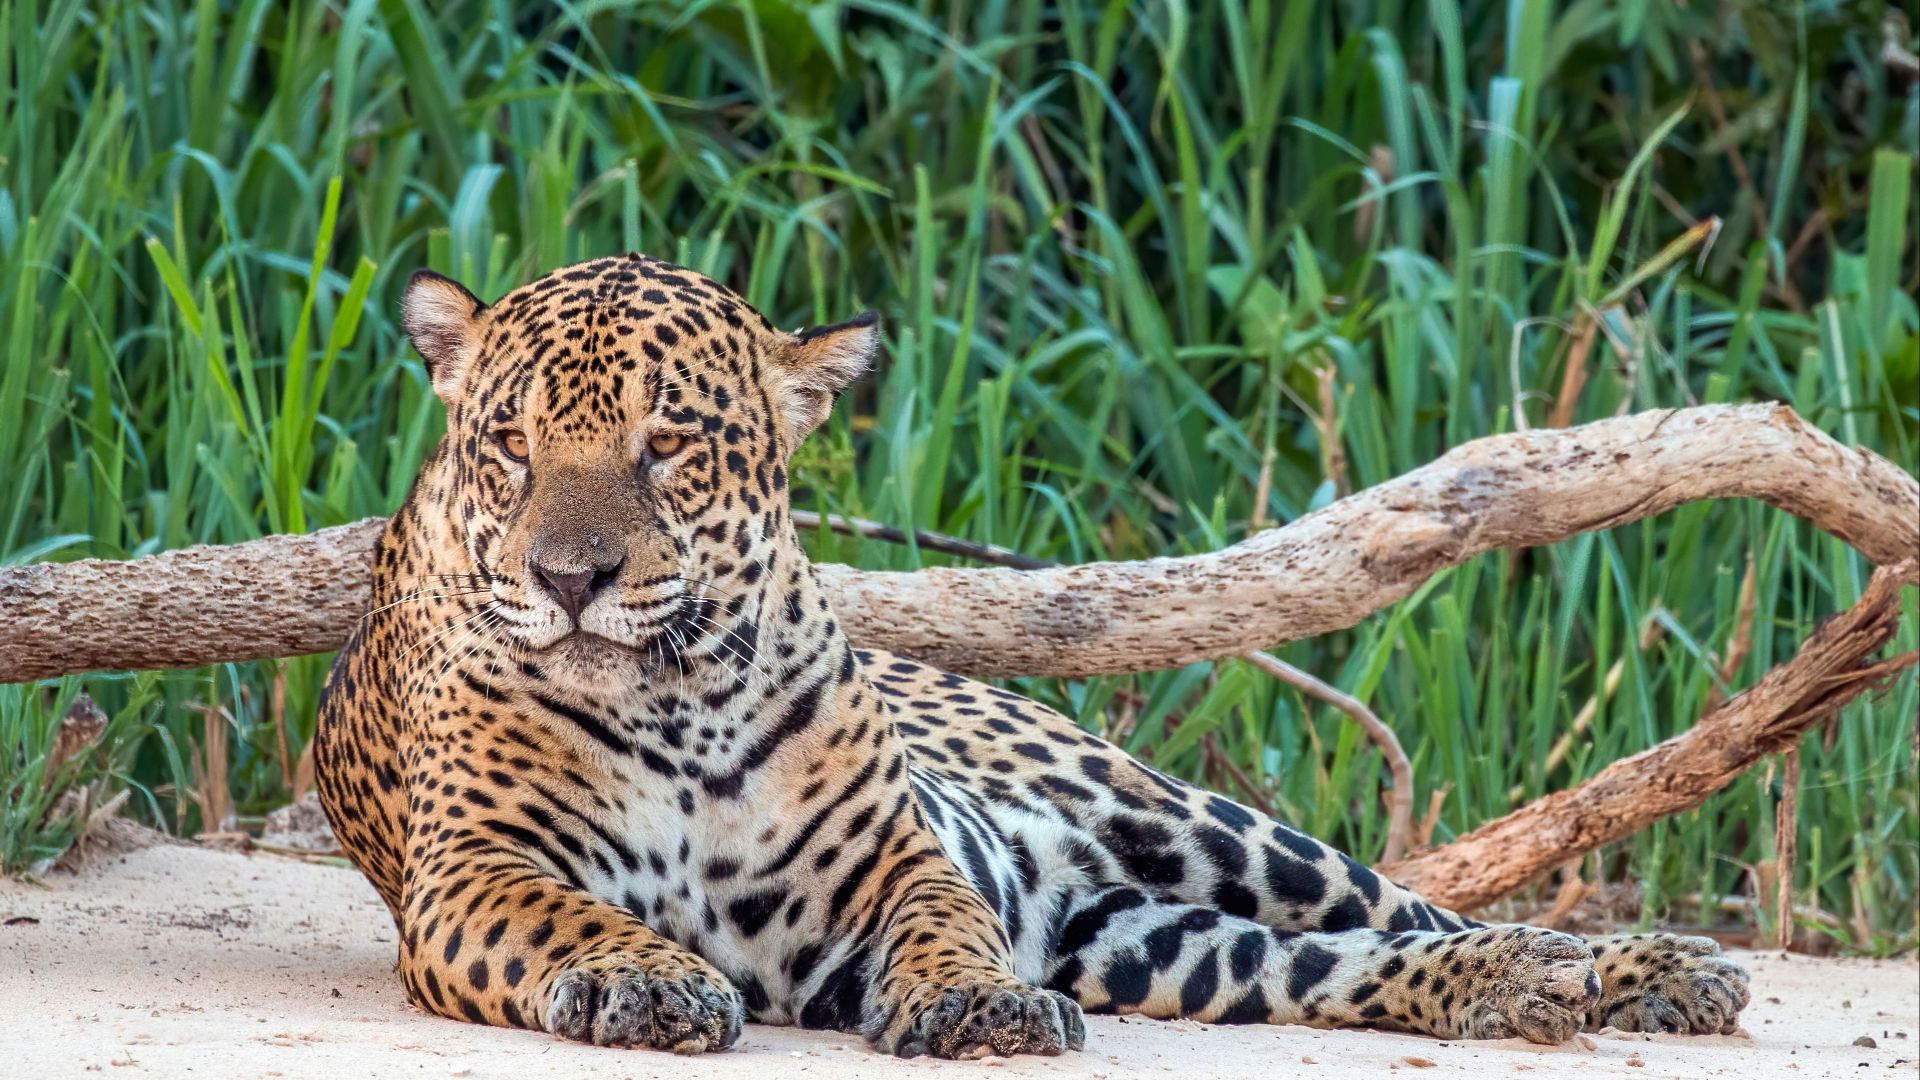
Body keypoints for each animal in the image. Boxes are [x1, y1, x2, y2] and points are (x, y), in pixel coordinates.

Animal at [313, 253, 1750, 1058]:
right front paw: (636, 975)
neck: (680, 703)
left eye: (667, 445)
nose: (568, 580)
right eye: (509, 444)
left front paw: (979, 1005)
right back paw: (1538, 988)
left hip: (1198, 823)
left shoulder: (891, 862)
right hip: (1148, 941)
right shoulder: (474, 868)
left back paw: (1646, 970)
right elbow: (572, 913)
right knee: (1341, 968)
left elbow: (945, 919)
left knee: (1410, 912)